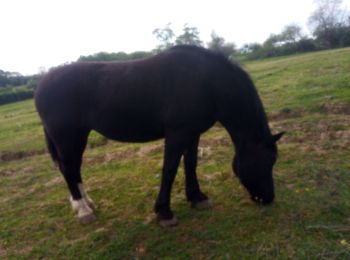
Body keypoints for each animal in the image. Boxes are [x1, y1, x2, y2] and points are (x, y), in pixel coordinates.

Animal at [34, 45, 284, 226]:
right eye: (265, 161)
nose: (268, 198)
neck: (205, 82)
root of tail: (43, 83)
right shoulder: (176, 134)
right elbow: (169, 170)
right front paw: (164, 212)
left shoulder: (193, 134)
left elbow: (190, 164)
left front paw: (197, 197)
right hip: (67, 138)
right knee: (68, 169)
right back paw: (84, 210)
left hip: (78, 136)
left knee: (74, 169)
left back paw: (87, 203)